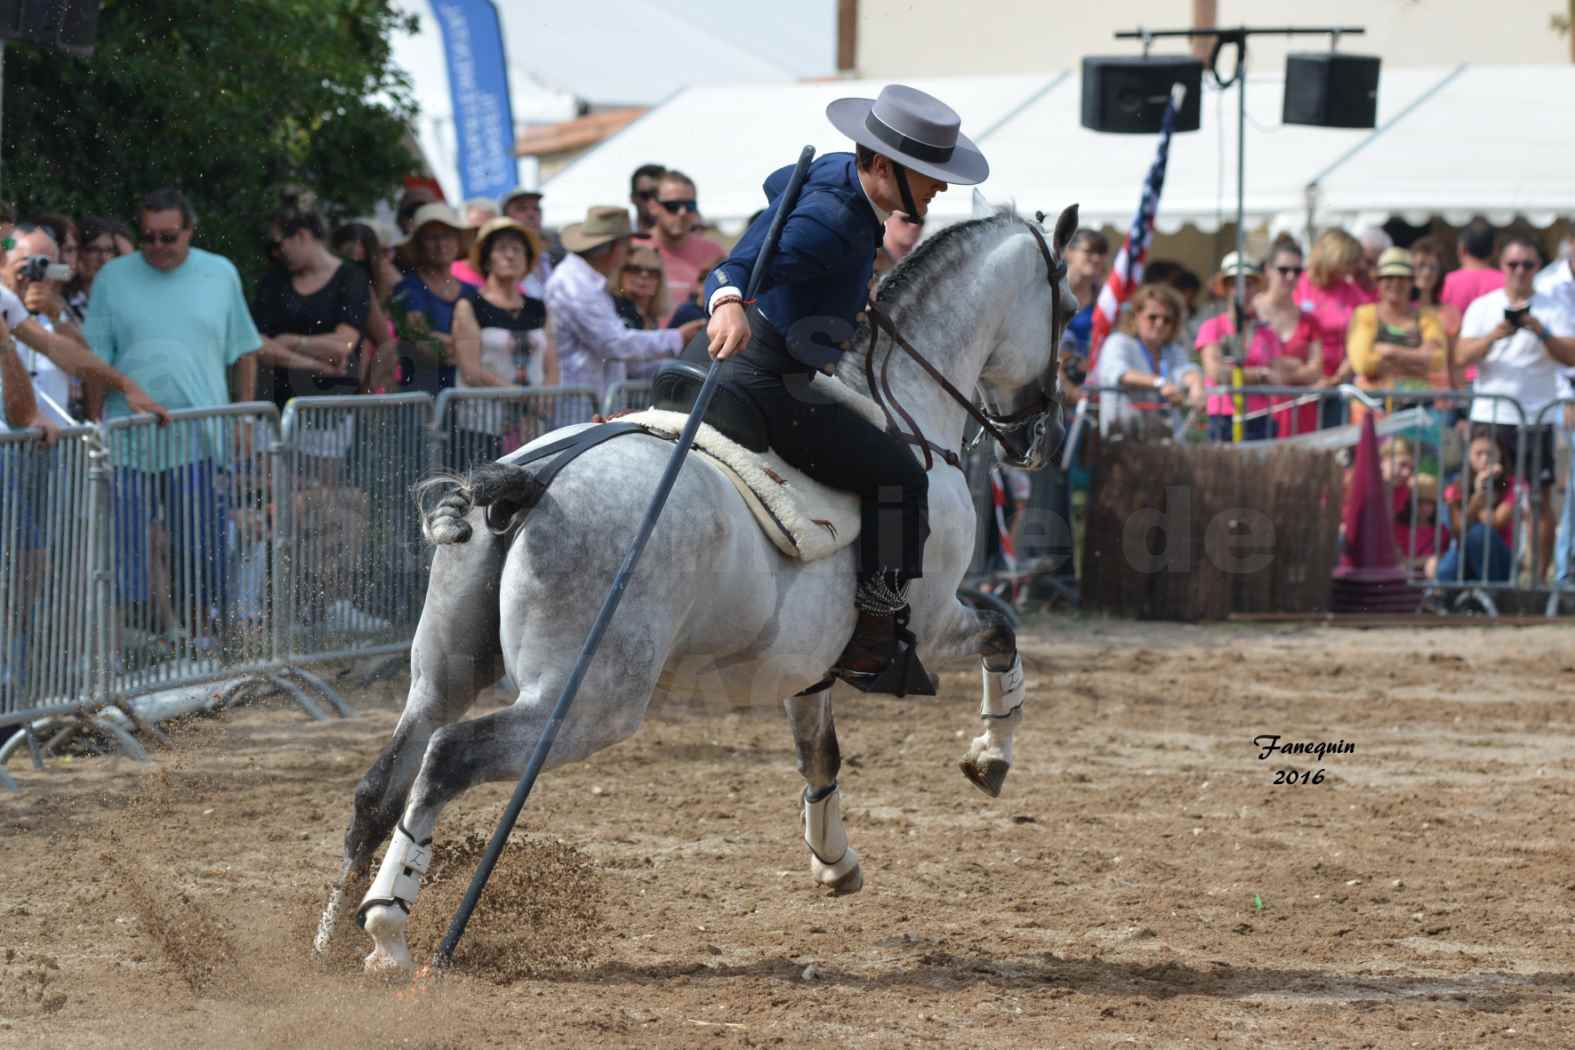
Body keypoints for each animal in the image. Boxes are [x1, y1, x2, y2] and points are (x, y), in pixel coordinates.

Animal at [319, 201, 1083, 976]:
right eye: (1071, 307)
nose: (1041, 438)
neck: (901, 407)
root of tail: (533, 477)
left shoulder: (807, 660)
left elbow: (819, 752)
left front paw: (833, 859)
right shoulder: (929, 623)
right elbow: (1001, 631)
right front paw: (990, 756)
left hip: (447, 669)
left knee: (383, 782)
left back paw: (328, 937)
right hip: (588, 700)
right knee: (448, 758)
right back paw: (389, 929)